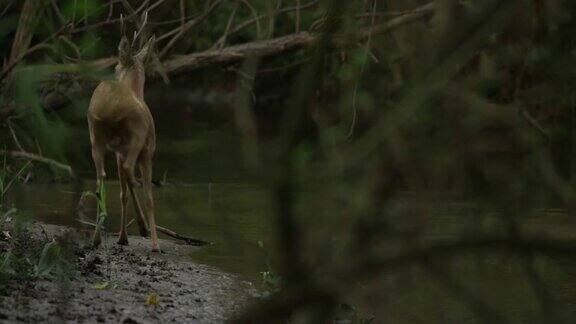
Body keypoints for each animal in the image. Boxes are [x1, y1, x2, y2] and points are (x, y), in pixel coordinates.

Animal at [88, 12, 160, 251]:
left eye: (116, 67)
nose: (114, 71)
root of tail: (110, 107)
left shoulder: (119, 151)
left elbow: (122, 193)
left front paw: (124, 236)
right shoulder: (148, 150)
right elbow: (148, 197)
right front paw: (152, 239)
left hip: (95, 135)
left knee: (101, 179)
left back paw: (96, 238)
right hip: (137, 136)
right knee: (131, 173)